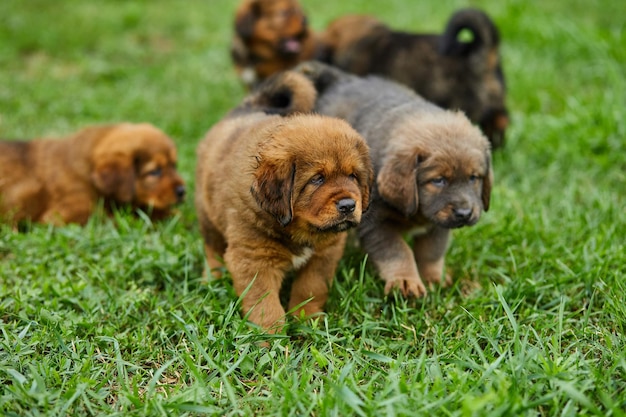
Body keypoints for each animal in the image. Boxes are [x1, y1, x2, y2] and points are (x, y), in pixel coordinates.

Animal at [195, 71, 370, 332]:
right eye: (317, 179)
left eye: (353, 176)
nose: (348, 206)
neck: (297, 230)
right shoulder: (254, 260)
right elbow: (266, 306)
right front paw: (271, 337)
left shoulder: (323, 255)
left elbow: (311, 288)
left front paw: (307, 320)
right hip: (207, 214)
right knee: (212, 247)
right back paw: (212, 278)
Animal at [292, 61, 492, 296]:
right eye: (438, 180)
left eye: (474, 178)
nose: (464, 213)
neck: (417, 212)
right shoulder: (376, 223)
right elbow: (398, 251)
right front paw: (405, 282)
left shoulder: (438, 224)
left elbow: (431, 252)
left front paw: (434, 280)